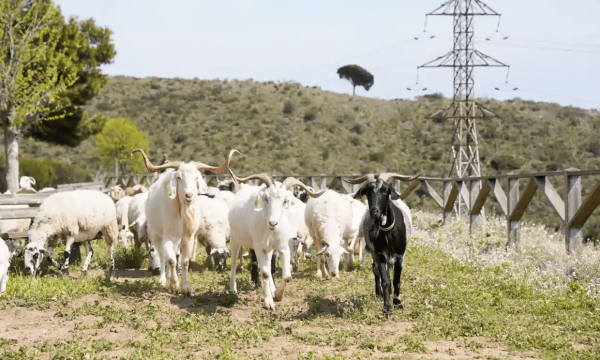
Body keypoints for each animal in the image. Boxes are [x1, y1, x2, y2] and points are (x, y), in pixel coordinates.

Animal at [227, 170, 326, 310]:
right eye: (266, 199)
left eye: (285, 201)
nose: (273, 223)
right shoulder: (259, 248)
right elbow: (265, 274)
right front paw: (268, 301)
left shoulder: (283, 247)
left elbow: (287, 276)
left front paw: (278, 295)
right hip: (235, 239)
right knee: (234, 262)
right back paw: (233, 289)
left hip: (268, 249)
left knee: (269, 266)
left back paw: (272, 289)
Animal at [342, 172, 418, 316]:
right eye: (368, 191)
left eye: (385, 190)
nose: (374, 212)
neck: (388, 232)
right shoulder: (380, 255)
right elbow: (385, 281)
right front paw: (387, 307)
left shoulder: (399, 256)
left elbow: (396, 280)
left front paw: (397, 302)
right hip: (373, 252)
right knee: (375, 271)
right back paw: (379, 293)